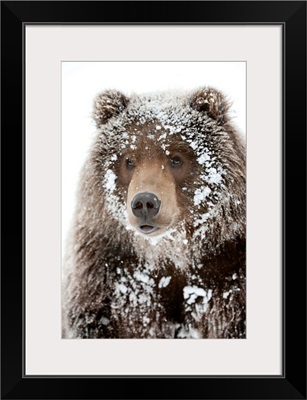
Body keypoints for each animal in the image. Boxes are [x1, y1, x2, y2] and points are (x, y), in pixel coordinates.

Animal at [62, 86, 248, 338]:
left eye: (176, 158)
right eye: (129, 160)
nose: (145, 202)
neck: (170, 252)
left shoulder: (229, 268)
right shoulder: (108, 272)